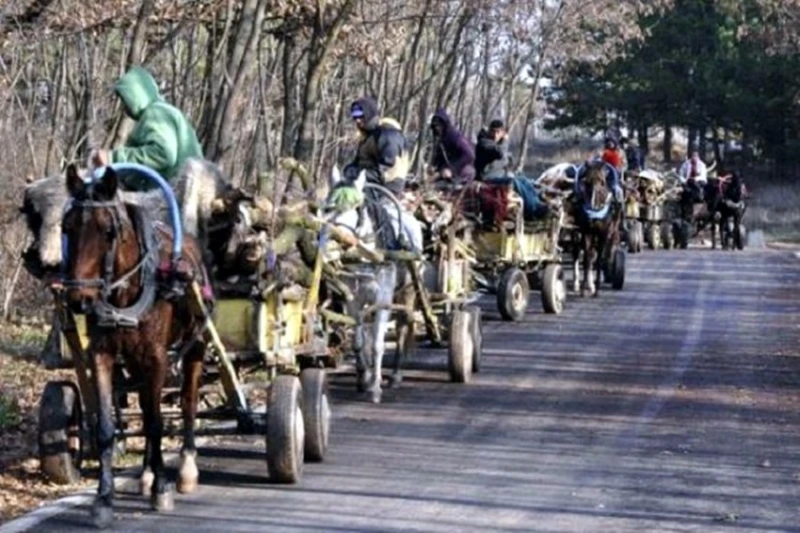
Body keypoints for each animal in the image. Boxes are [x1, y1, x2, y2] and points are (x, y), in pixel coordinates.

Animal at [61, 163, 208, 528]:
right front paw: (103, 498)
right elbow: (107, 427)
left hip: (196, 346)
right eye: (67, 227)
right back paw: (145, 474)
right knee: (144, 406)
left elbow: (156, 423)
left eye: (107, 231)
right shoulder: (102, 355)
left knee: (187, 402)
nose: (79, 298)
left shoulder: (157, 358)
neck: (124, 294)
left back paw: (185, 469)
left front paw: (163, 488)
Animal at [324, 168, 424, 402]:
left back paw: (395, 375)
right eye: (329, 207)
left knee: (402, 327)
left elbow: (378, 343)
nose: (338, 239)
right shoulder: (354, 300)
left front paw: (376, 387)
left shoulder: (383, 299)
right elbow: (359, 342)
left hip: (406, 292)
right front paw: (363, 378)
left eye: (357, 207)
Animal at [568, 160, 624, 298]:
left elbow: (598, 259)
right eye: (586, 181)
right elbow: (587, 259)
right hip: (576, 232)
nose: (592, 205)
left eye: (602, 182)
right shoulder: (586, 232)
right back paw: (578, 283)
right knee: (578, 253)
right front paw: (584, 288)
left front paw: (596, 288)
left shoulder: (603, 233)